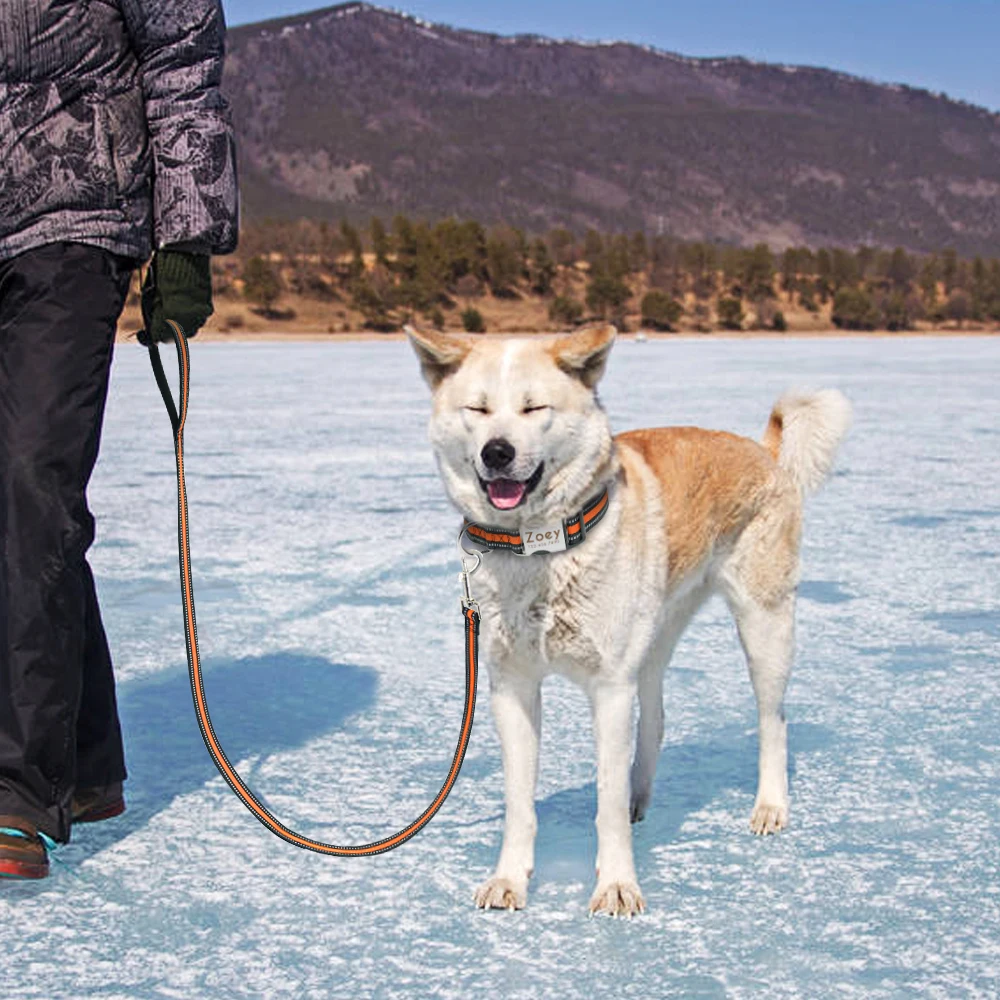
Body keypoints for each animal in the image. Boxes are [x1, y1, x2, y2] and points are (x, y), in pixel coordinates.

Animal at [406, 324, 852, 916]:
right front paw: (508, 880)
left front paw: (617, 886)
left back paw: (769, 806)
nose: (496, 452)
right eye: (476, 409)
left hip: (764, 624)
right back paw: (644, 794)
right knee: (657, 719)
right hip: (656, 633)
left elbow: (607, 803)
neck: (540, 548)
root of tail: (765, 450)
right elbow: (520, 803)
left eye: (533, 407)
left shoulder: (610, 687)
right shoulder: (511, 687)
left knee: (772, 721)